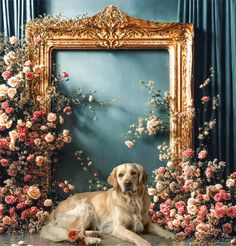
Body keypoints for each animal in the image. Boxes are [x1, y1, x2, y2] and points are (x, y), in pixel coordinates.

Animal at [40, 162, 175, 245]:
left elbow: (157, 227)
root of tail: (54, 211)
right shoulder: (118, 227)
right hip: (86, 207)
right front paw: (143, 242)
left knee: (76, 231)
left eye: (134, 173)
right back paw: (91, 240)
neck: (131, 201)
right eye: (120, 175)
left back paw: (94, 233)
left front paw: (169, 234)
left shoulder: (145, 222)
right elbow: (132, 234)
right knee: (75, 234)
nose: (127, 183)